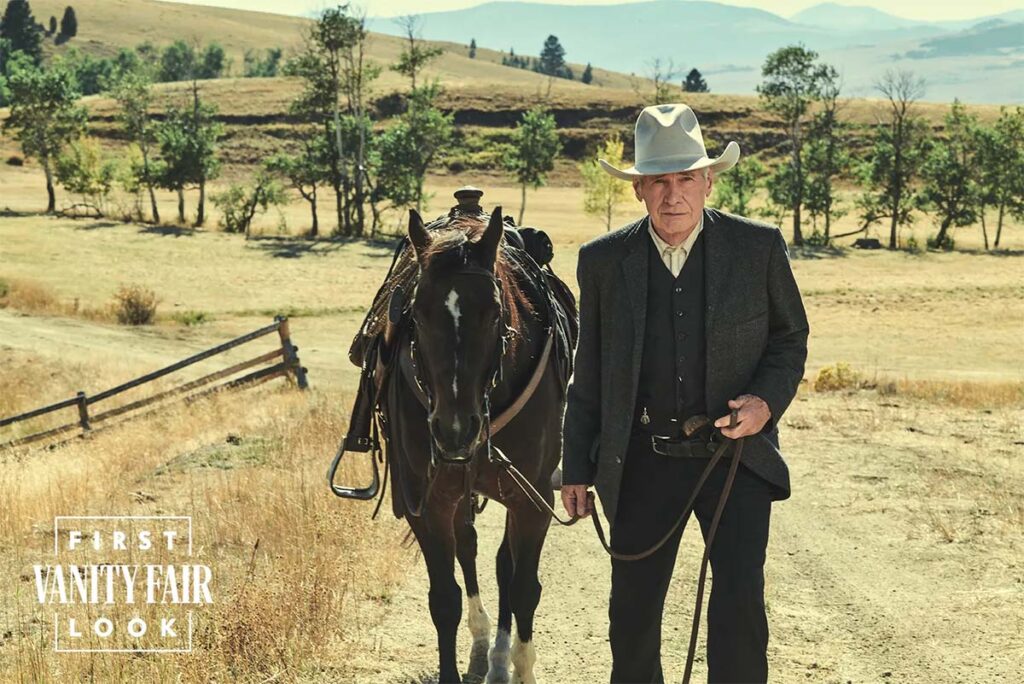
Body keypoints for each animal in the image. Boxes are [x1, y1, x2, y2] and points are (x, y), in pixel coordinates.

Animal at [376, 208, 569, 684]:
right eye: (417, 311)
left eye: (494, 312)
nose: (455, 429)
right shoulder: (426, 503)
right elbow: (444, 598)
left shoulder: (534, 498)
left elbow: (524, 588)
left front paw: (521, 666)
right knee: (469, 549)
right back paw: (483, 647)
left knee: (504, 568)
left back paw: (500, 657)